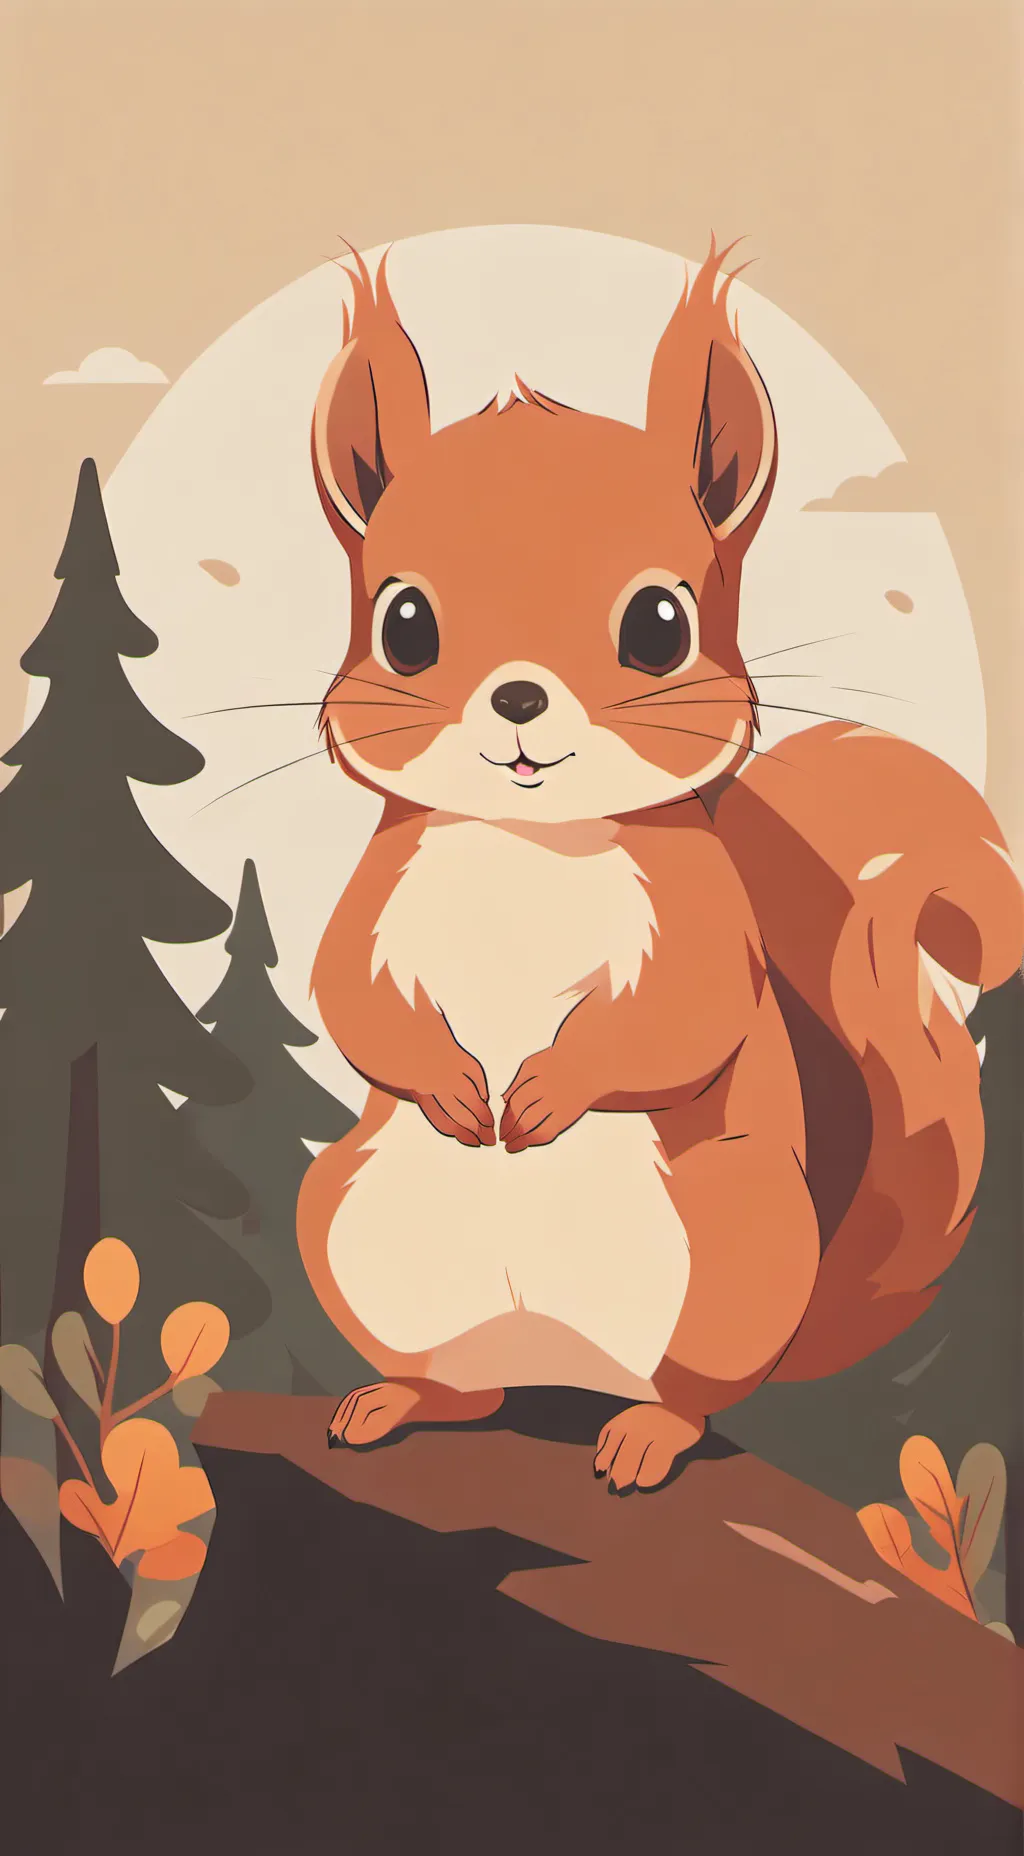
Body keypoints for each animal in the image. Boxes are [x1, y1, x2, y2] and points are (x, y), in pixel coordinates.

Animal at [296, 238, 1024, 1494]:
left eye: (657, 625)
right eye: (403, 624)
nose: (519, 699)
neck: (526, 843)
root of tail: (557, 1362)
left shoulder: (693, 913)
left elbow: (682, 1012)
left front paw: (545, 1092)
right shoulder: (379, 892)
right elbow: (349, 992)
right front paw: (454, 1088)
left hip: (736, 1244)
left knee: (692, 1391)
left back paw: (644, 1437)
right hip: (349, 1218)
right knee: (462, 1384)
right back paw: (398, 1399)